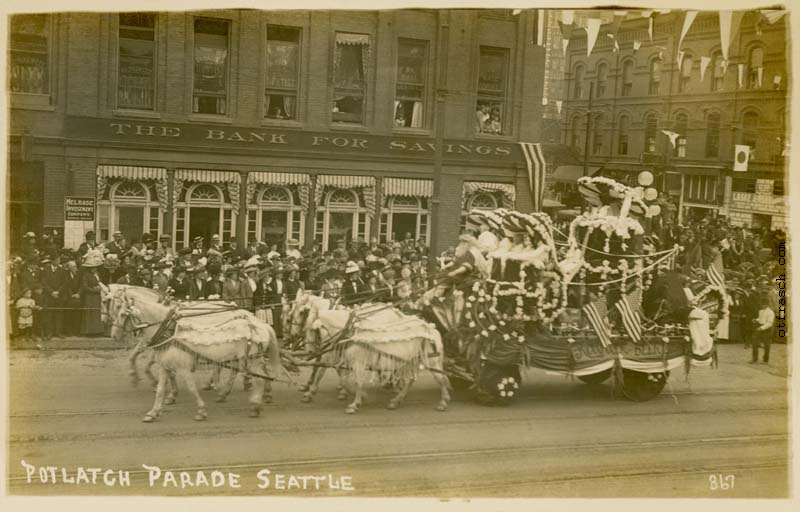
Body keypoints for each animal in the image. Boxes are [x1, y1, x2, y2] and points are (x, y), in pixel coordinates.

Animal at [108, 286, 284, 422]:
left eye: (121, 313)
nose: (113, 335)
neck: (170, 329)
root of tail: (258, 323)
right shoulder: (165, 365)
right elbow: (160, 389)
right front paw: (154, 411)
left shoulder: (183, 367)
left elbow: (191, 387)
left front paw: (200, 410)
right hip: (246, 358)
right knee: (255, 374)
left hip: (251, 359)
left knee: (258, 377)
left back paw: (254, 404)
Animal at [298, 298, 454, 414]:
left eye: (312, 330)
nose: (309, 351)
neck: (351, 333)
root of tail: (431, 329)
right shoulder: (344, 361)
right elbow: (343, 379)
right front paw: (360, 397)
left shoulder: (357, 363)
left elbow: (356, 381)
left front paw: (354, 404)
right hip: (411, 361)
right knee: (410, 380)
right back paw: (395, 400)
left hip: (431, 361)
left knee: (441, 379)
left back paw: (443, 402)